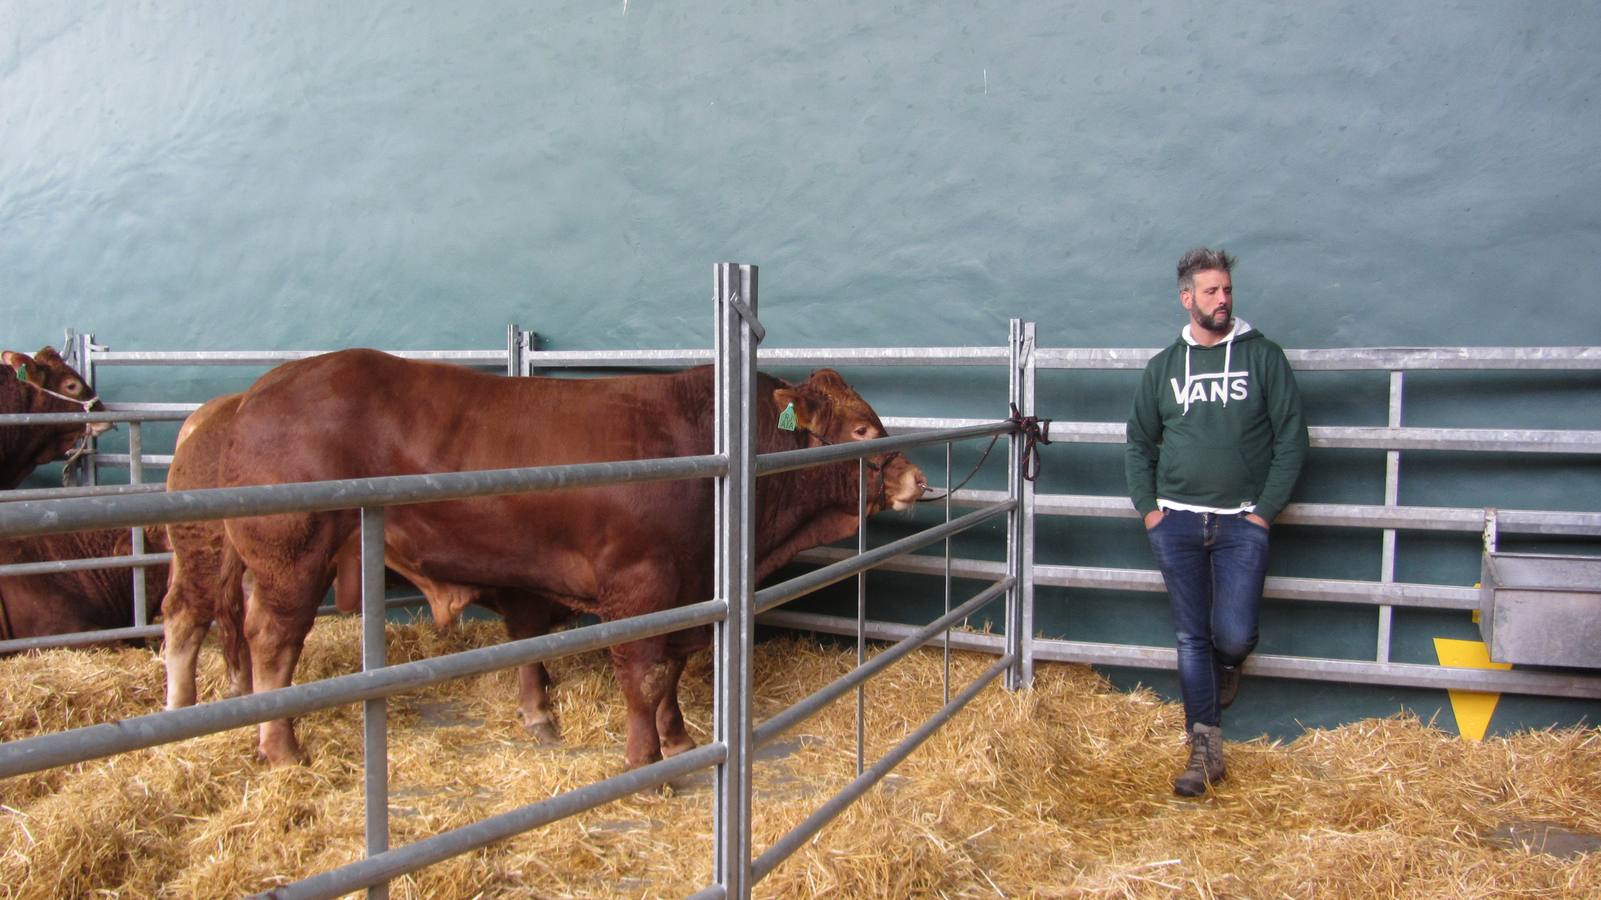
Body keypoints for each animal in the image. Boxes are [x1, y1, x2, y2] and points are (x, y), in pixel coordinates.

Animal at [224, 350, 928, 762]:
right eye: (861, 430)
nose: (917, 479)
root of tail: (259, 391)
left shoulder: (693, 587)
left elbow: (671, 669)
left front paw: (679, 737)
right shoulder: (639, 584)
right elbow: (643, 674)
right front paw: (646, 760)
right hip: (291, 554)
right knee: (274, 641)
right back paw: (281, 748)